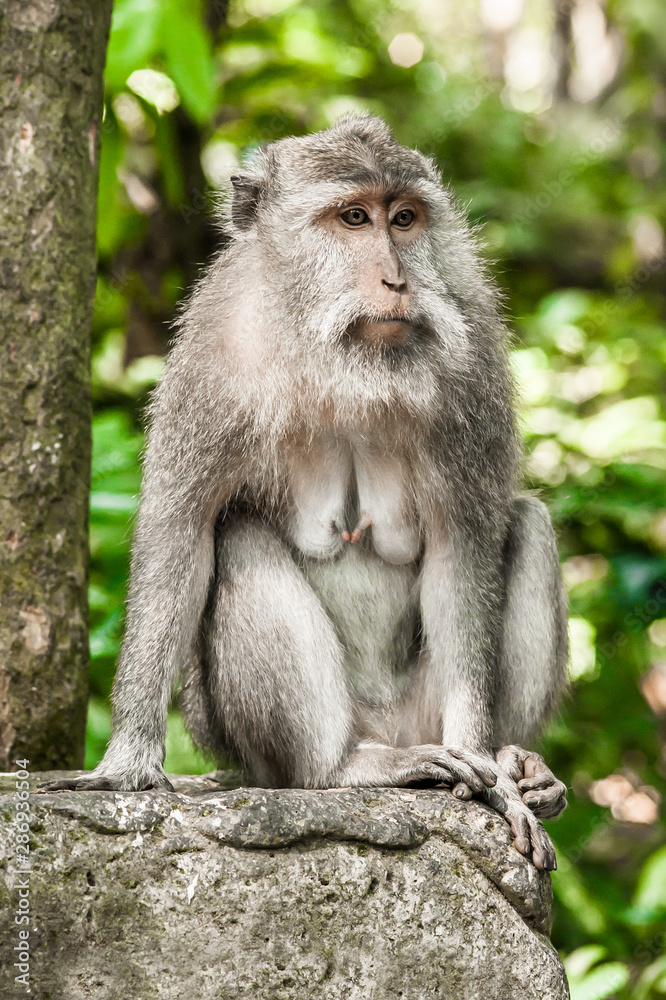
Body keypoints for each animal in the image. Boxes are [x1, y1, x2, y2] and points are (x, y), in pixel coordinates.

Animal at [44, 115, 568, 868]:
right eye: (353, 218)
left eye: (404, 218)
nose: (397, 278)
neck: (343, 361)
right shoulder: (214, 358)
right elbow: (182, 533)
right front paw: (125, 767)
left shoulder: (475, 369)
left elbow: (463, 547)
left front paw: (494, 776)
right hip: (250, 741)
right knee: (238, 538)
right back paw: (342, 768)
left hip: (419, 714)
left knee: (526, 522)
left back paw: (516, 763)